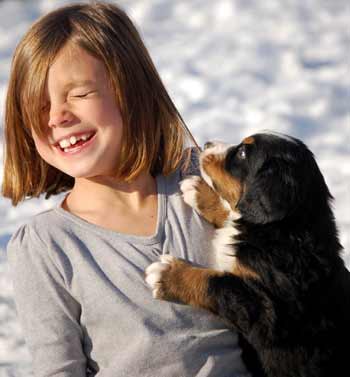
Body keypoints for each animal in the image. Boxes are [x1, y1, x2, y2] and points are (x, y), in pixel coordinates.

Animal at [145, 132, 350, 376]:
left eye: (242, 153)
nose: (207, 144)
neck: (283, 230)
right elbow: (232, 214)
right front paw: (201, 193)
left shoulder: (267, 314)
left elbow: (219, 284)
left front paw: (169, 274)